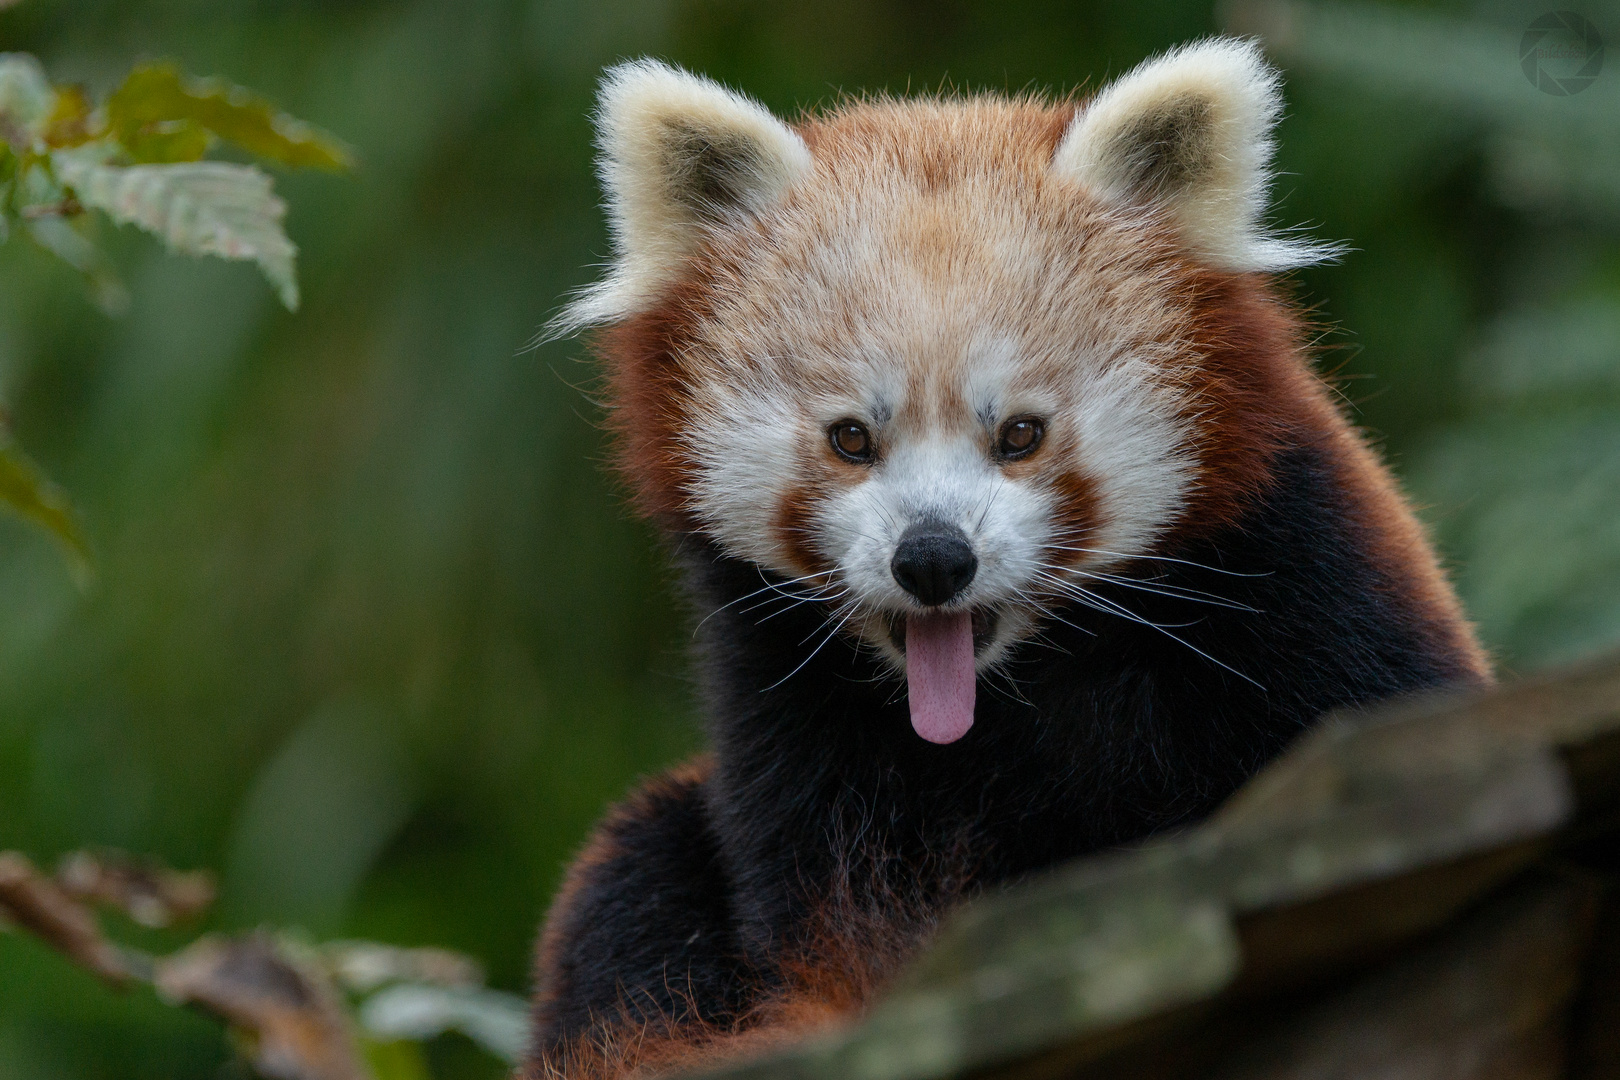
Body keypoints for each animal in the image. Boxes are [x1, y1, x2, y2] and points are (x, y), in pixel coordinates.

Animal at [524, 40, 1483, 1080]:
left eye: (1020, 434)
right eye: (851, 439)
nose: (934, 559)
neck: (1017, 691)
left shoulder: (1312, 601)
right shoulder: (783, 726)